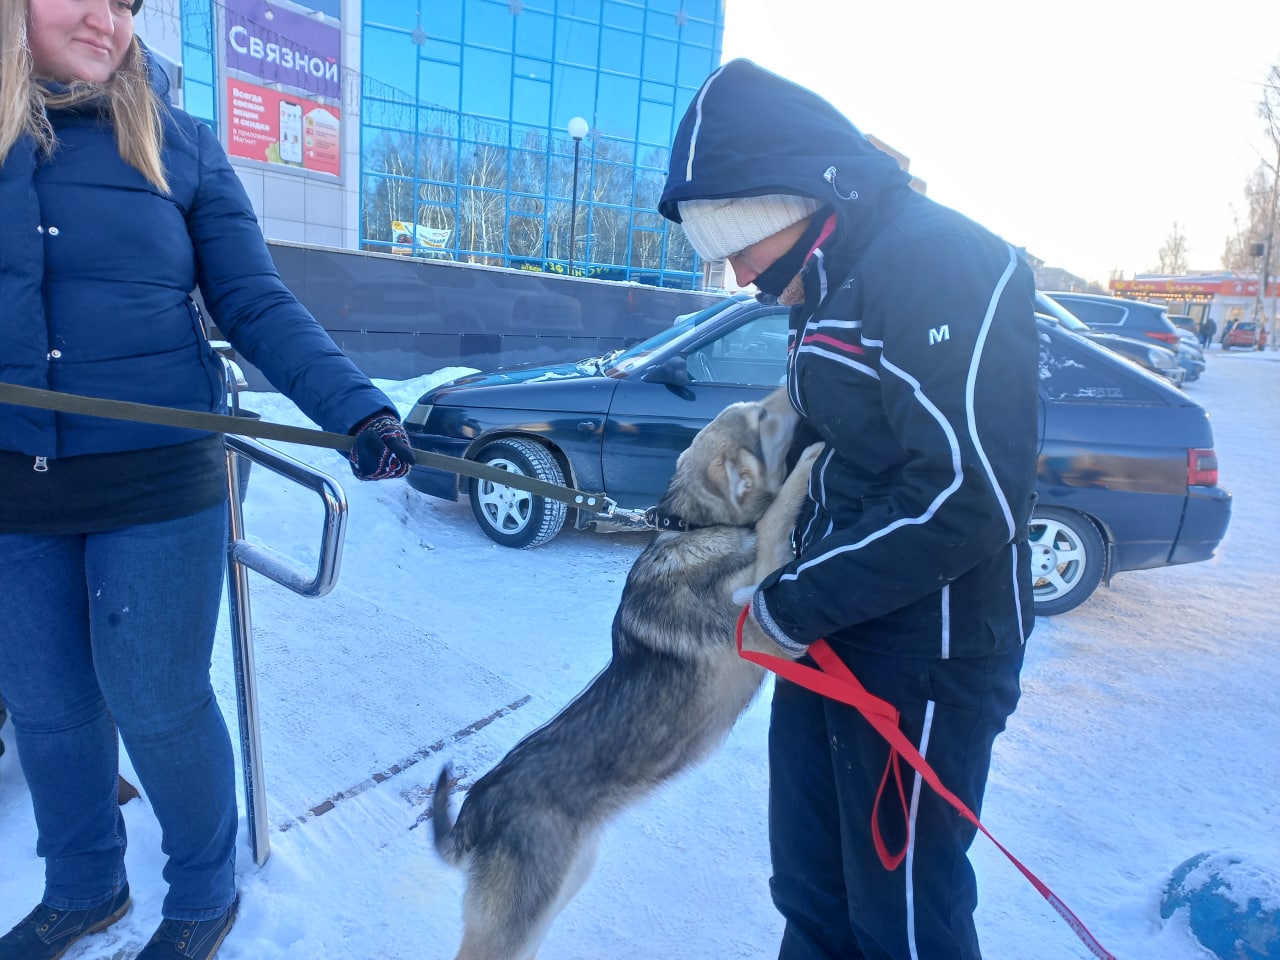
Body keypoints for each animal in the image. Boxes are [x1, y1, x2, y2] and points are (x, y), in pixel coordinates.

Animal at [435, 389, 824, 960]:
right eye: (763, 418)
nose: (791, 387)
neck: (698, 528)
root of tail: (478, 807)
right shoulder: (760, 628)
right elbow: (776, 518)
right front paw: (813, 460)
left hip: (555, 892)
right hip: (513, 921)